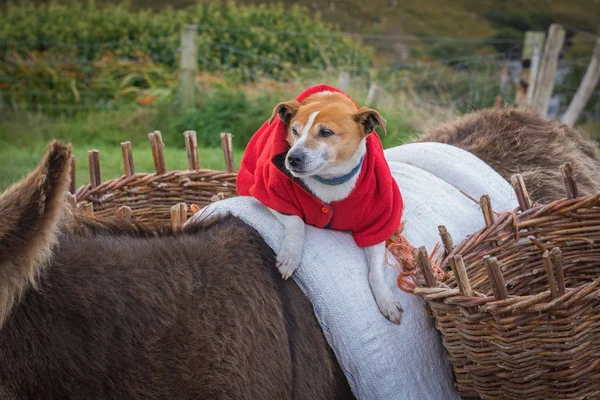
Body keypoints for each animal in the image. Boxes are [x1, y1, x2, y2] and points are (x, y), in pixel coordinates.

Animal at [237, 85, 406, 324]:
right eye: (294, 130)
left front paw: (386, 299)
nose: (292, 158)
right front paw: (290, 256)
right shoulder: (270, 194)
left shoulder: (376, 223)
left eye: (326, 132)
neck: (329, 180)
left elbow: (376, 270)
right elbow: (297, 221)